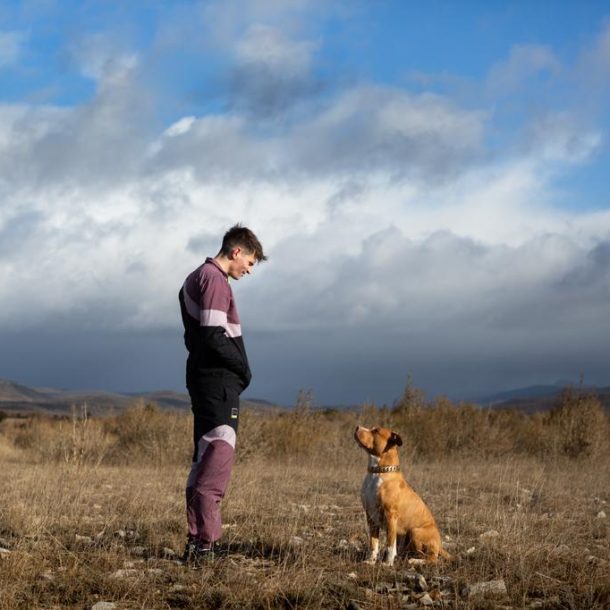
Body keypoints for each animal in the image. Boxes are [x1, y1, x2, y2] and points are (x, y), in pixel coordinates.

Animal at [352, 426, 446, 564]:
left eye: (376, 431)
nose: (357, 427)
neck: (377, 472)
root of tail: (440, 545)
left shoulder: (390, 516)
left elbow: (390, 544)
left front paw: (387, 563)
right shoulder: (371, 516)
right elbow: (373, 543)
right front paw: (370, 561)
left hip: (415, 532)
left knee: (432, 558)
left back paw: (414, 561)